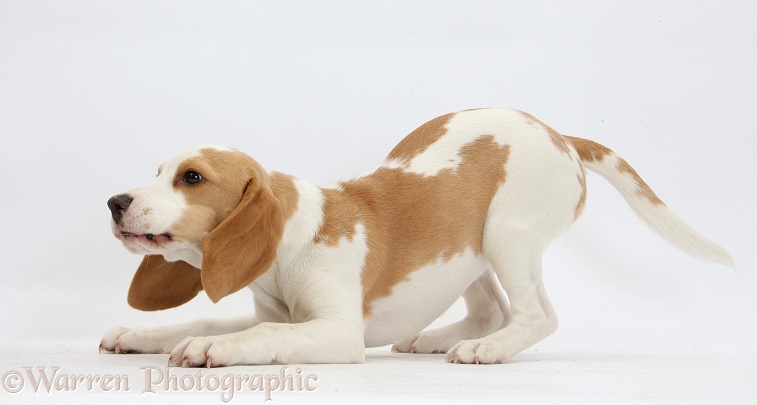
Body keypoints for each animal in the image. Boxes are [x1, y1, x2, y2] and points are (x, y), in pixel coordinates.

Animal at [100, 107, 732, 366]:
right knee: (491, 310)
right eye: (158, 171)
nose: (114, 202)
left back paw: (486, 351)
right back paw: (437, 338)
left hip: (507, 235)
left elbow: (257, 337)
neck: (296, 239)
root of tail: (559, 134)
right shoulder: (272, 311)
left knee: (537, 317)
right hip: (469, 251)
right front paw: (142, 334)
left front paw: (217, 351)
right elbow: (211, 321)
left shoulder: (338, 334)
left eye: (192, 178)